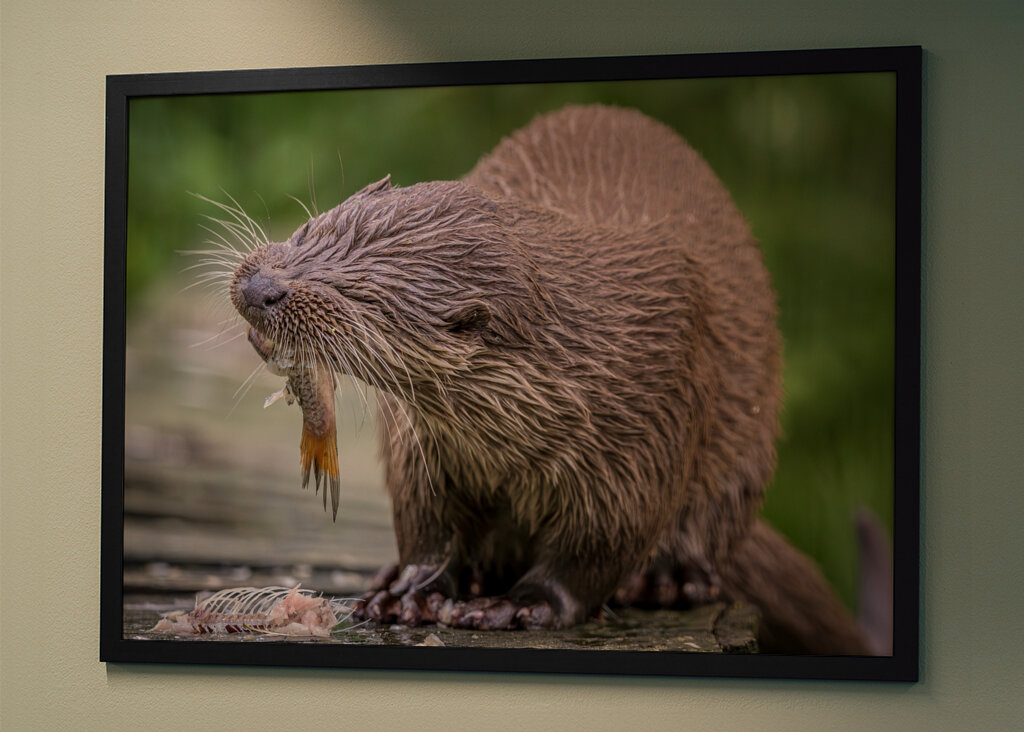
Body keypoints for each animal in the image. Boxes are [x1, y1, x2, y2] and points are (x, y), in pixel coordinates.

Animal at [230, 104, 879, 655]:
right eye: (310, 228)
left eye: (360, 296)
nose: (260, 287)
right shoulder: (420, 446)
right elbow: (428, 523)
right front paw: (410, 589)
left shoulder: (644, 433)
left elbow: (596, 549)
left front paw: (519, 607)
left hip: (745, 450)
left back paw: (668, 581)